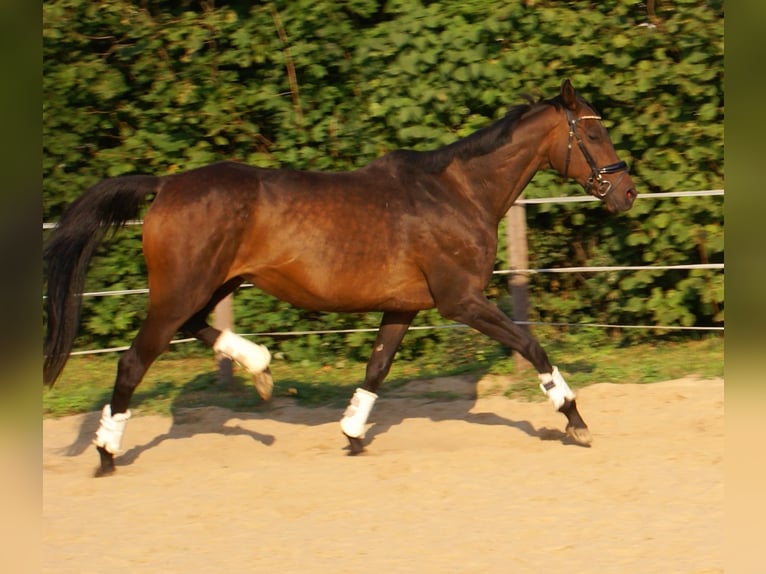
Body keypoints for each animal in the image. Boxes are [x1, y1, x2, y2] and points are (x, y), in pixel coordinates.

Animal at [45, 81, 640, 476]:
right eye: (594, 133)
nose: (627, 192)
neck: (457, 193)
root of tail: (165, 185)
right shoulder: (461, 300)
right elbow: (532, 346)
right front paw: (575, 420)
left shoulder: (404, 306)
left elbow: (377, 368)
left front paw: (353, 436)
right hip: (180, 292)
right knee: (132, 362)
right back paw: (106, 453)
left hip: (211, 285)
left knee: (194, 328)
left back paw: (260, 370)